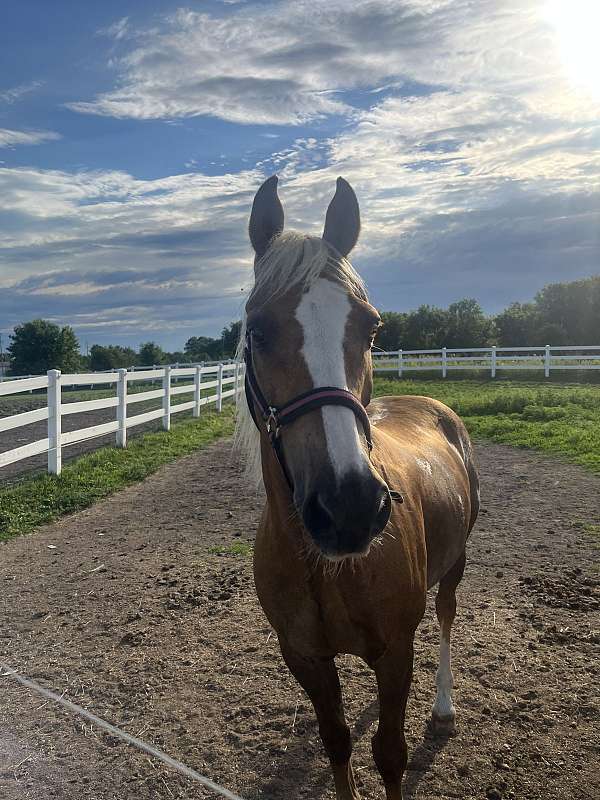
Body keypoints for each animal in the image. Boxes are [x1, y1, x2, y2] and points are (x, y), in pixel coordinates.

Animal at [237, 177, 480, 800]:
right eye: (257, 330)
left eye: (371, 328)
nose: (348, 506)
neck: (324, 567)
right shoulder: (305, 659)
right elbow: (338, 743)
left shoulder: (395, 653)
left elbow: (389, 754)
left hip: (456, 563)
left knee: (446, 619)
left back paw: (443, 709)